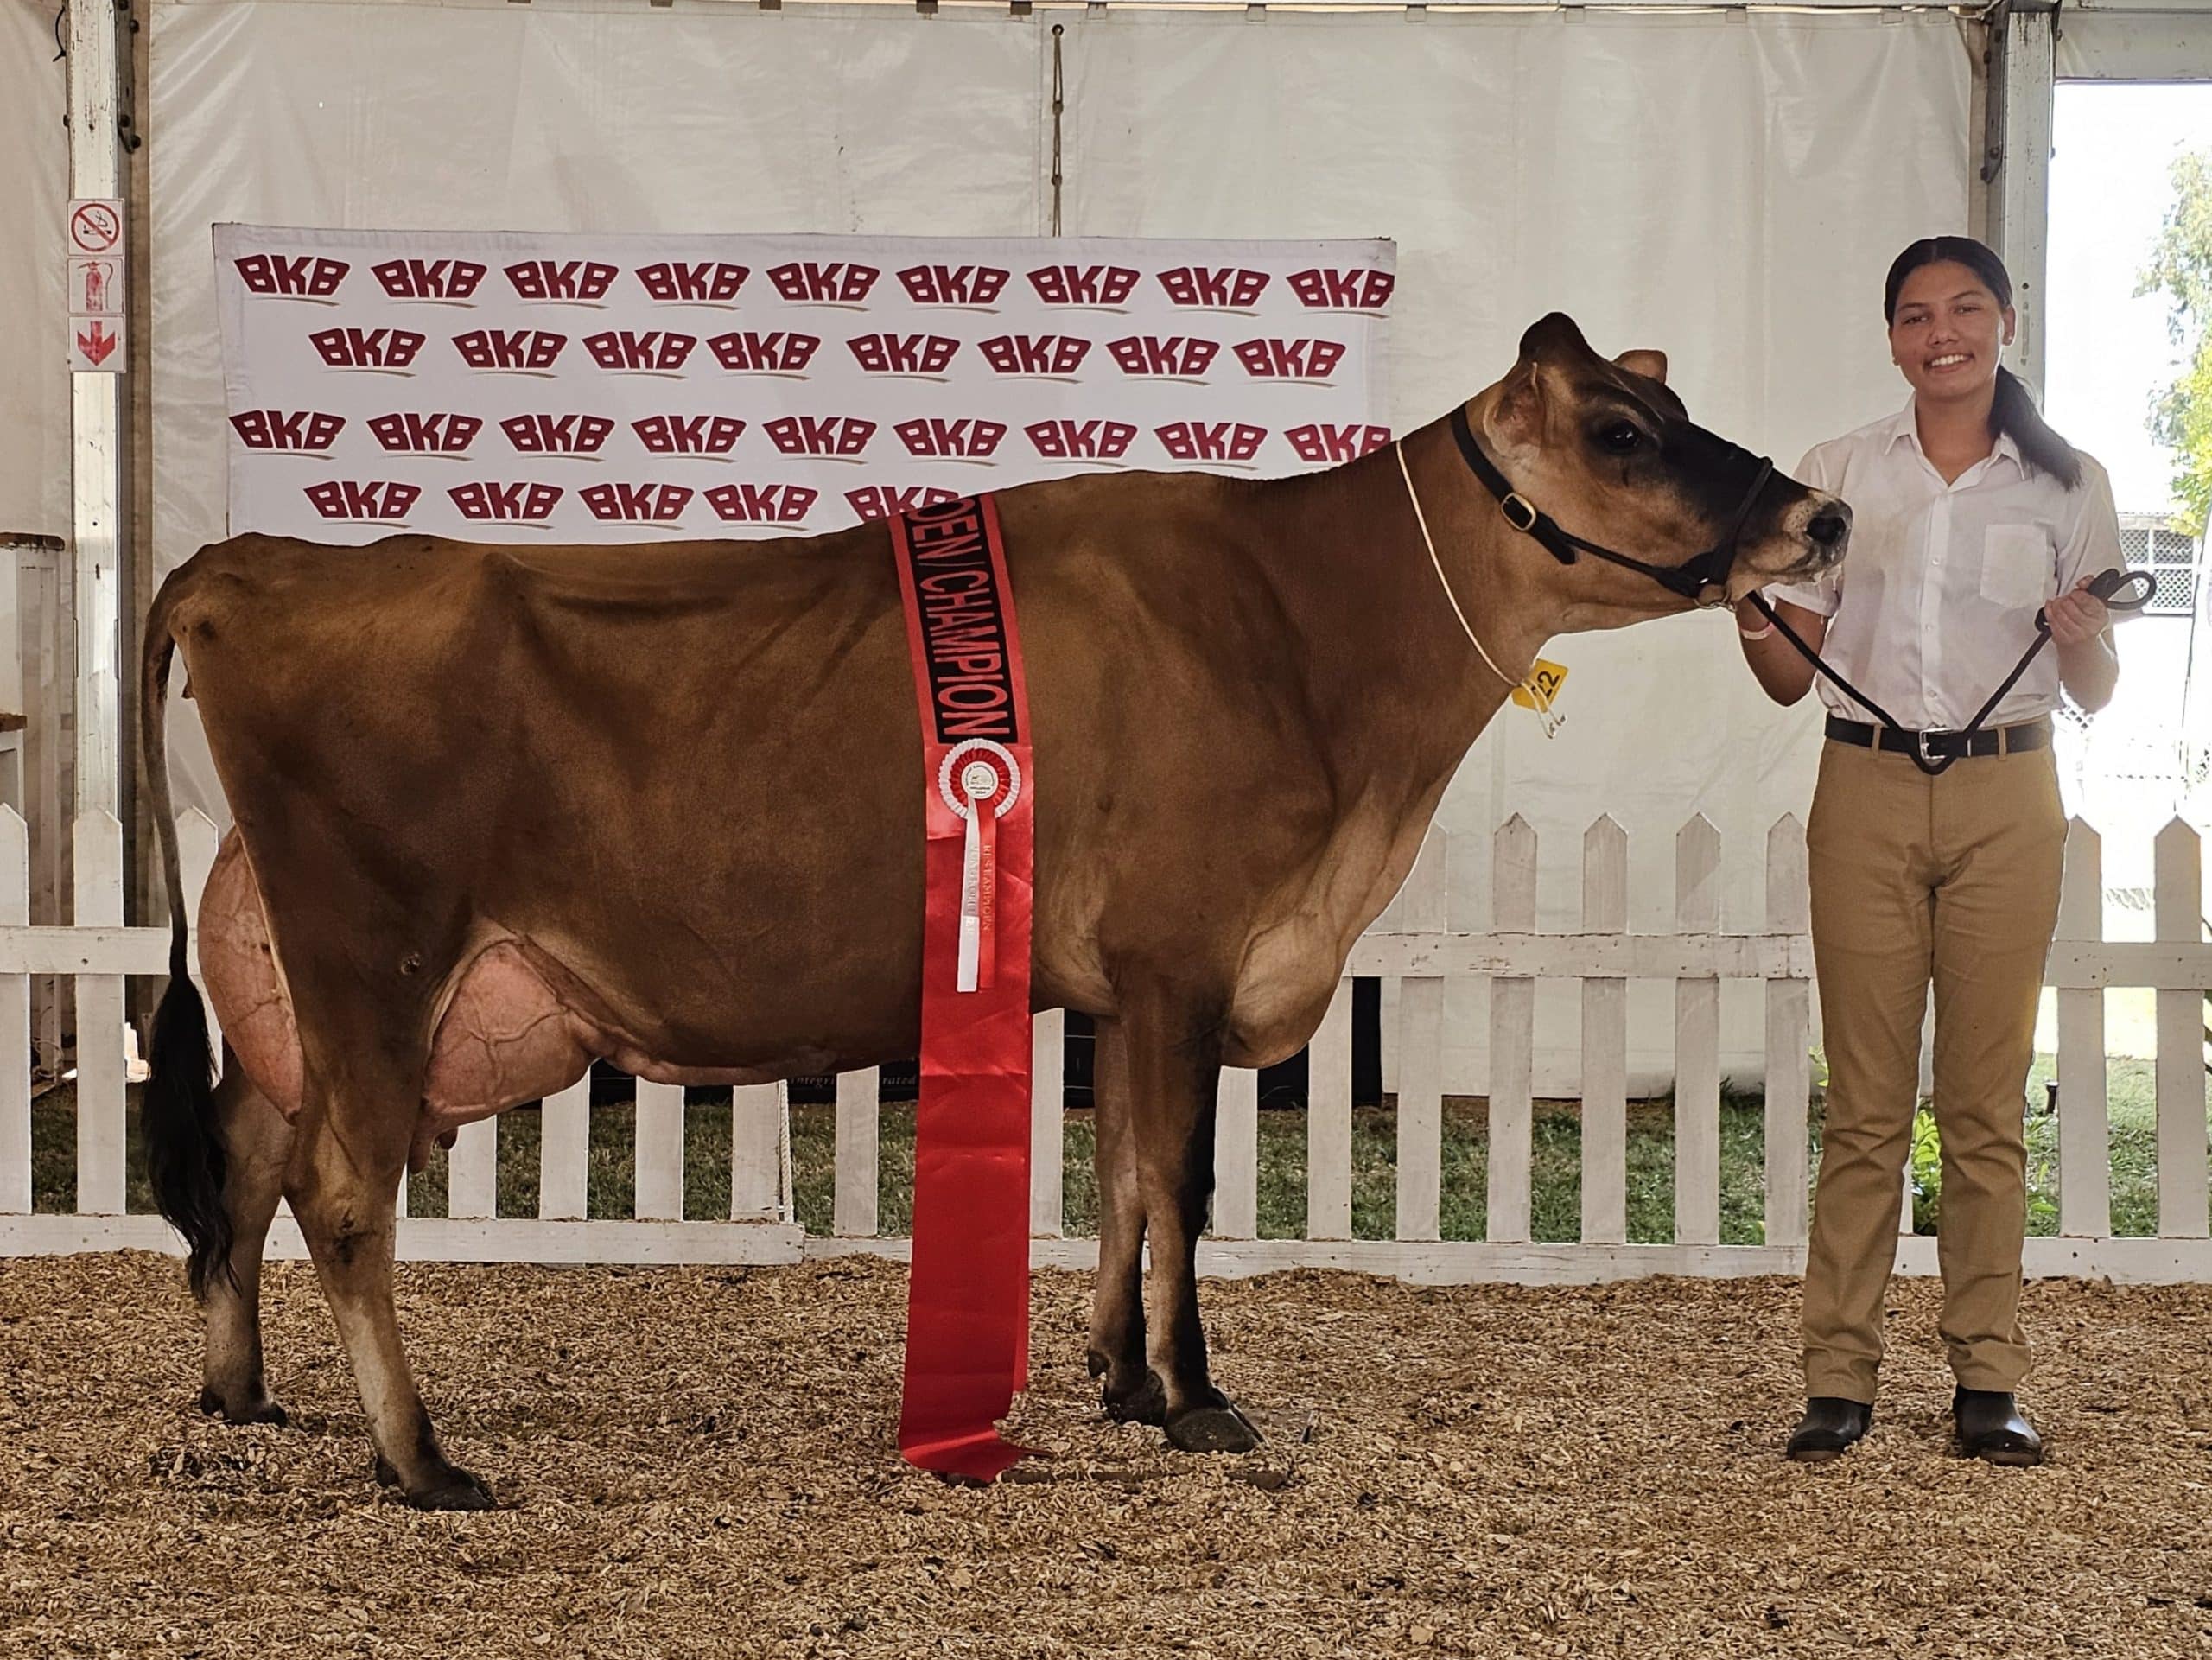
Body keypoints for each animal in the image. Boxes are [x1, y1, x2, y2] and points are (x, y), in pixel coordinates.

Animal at [129, 312, 1840, 1504]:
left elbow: (1127, 1176)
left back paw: (243, 1397)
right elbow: (1181, 1184)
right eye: (1624, 429)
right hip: (376, 950)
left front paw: (1118, 1376)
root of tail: (249, 560)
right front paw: (1196, 1398)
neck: (1312, 642)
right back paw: (421, 1462)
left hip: (299, 970)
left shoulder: (1127, 983)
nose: (1818, 515)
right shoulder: (1183, 956)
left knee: (247, 1158)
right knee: (341, 1193)